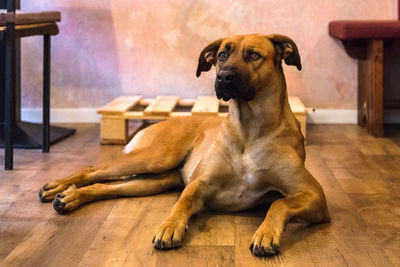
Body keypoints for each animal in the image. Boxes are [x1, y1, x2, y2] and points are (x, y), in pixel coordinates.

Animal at [39, 33, 330, 258]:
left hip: (153, 180)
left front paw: (266, 233)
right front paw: (170, 226)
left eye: (253, 55)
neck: (249, 129)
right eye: (222, 55)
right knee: (93, 169)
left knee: (106, 187)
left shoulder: (314, 195)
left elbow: (278, 203)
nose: (223, 77)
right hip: (155, 158)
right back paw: (58, 187)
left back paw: (71, 197)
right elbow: (183, 202)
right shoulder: (200, 183)